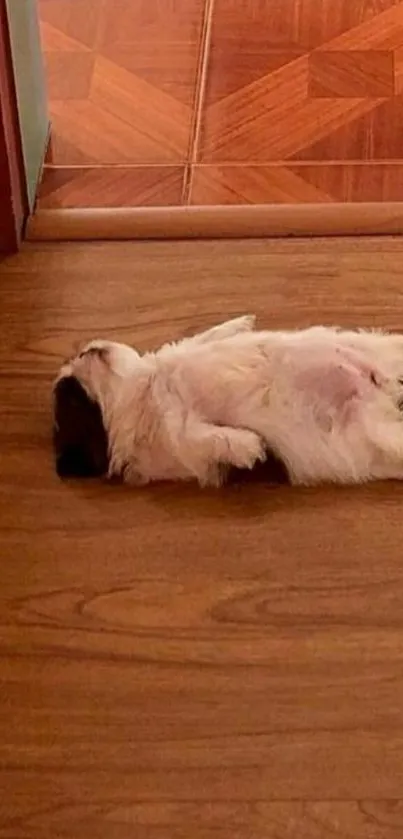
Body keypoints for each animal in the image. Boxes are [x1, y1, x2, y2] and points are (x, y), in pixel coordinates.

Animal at [52, 314, 403, 486]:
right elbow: (205, 436)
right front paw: (250, 447)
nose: (83, 351)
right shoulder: (180, 438)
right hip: (377, 432)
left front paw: (242, 322)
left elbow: (207, 335)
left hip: (384, 350)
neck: (147, 391)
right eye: (72, 399)